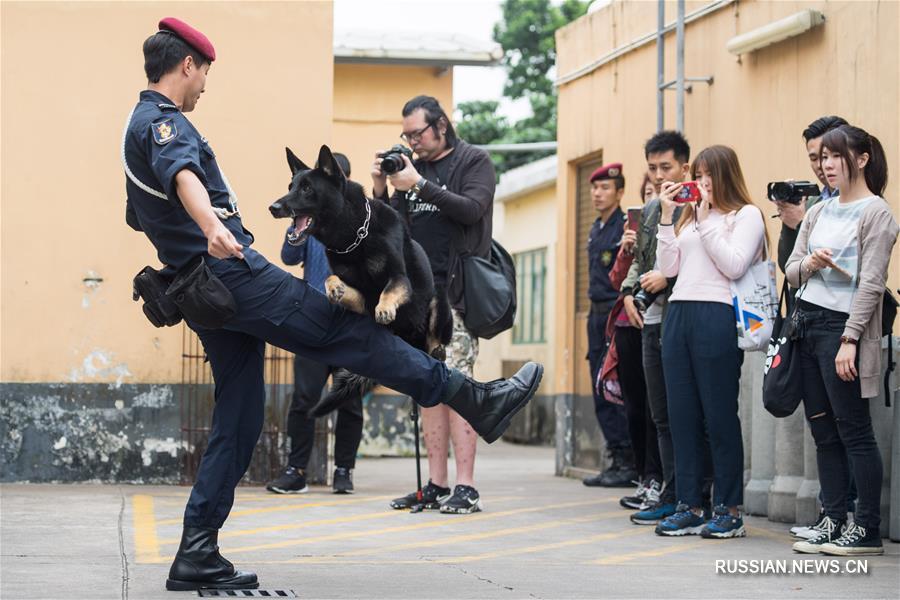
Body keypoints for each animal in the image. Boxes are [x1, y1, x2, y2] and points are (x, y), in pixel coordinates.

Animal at [266, 146, 450, 418]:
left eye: (307, 188)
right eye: (291, 186)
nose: (273, 207)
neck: (354, 236)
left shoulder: (399, 278)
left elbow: (390, 288)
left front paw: (384, 308)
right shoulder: (361, 300)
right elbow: (332, 278)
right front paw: (335, 288)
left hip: (440, 301)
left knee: (435, 345)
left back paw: (437, 349)